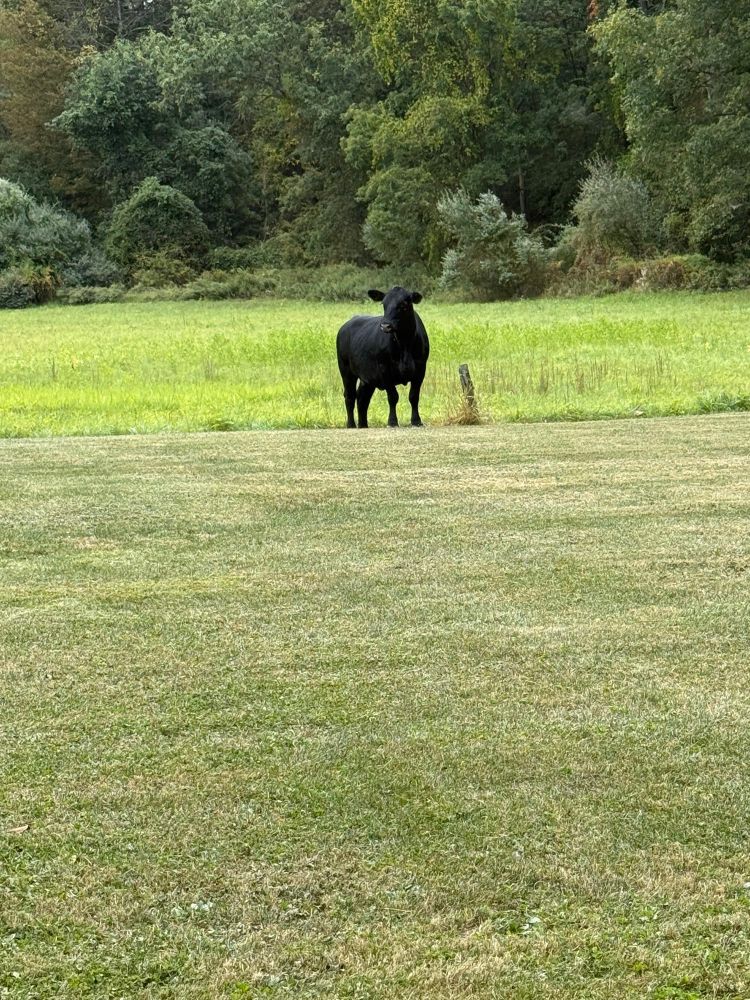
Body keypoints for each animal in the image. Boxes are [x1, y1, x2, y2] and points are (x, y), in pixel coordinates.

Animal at [336, 287, 430, 429]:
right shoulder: (384, 369)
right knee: (350, 396)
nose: (385, 326)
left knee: (362, 399)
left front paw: (416, 421)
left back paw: (363, 425)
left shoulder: (420, 369)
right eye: (383, 304)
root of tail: (346, 325)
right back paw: (351, 424)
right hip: (346, 370)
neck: (404, 343)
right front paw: (392, 421)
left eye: (403, 305)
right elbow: (393, 397)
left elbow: (414, 396)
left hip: (367, 378)